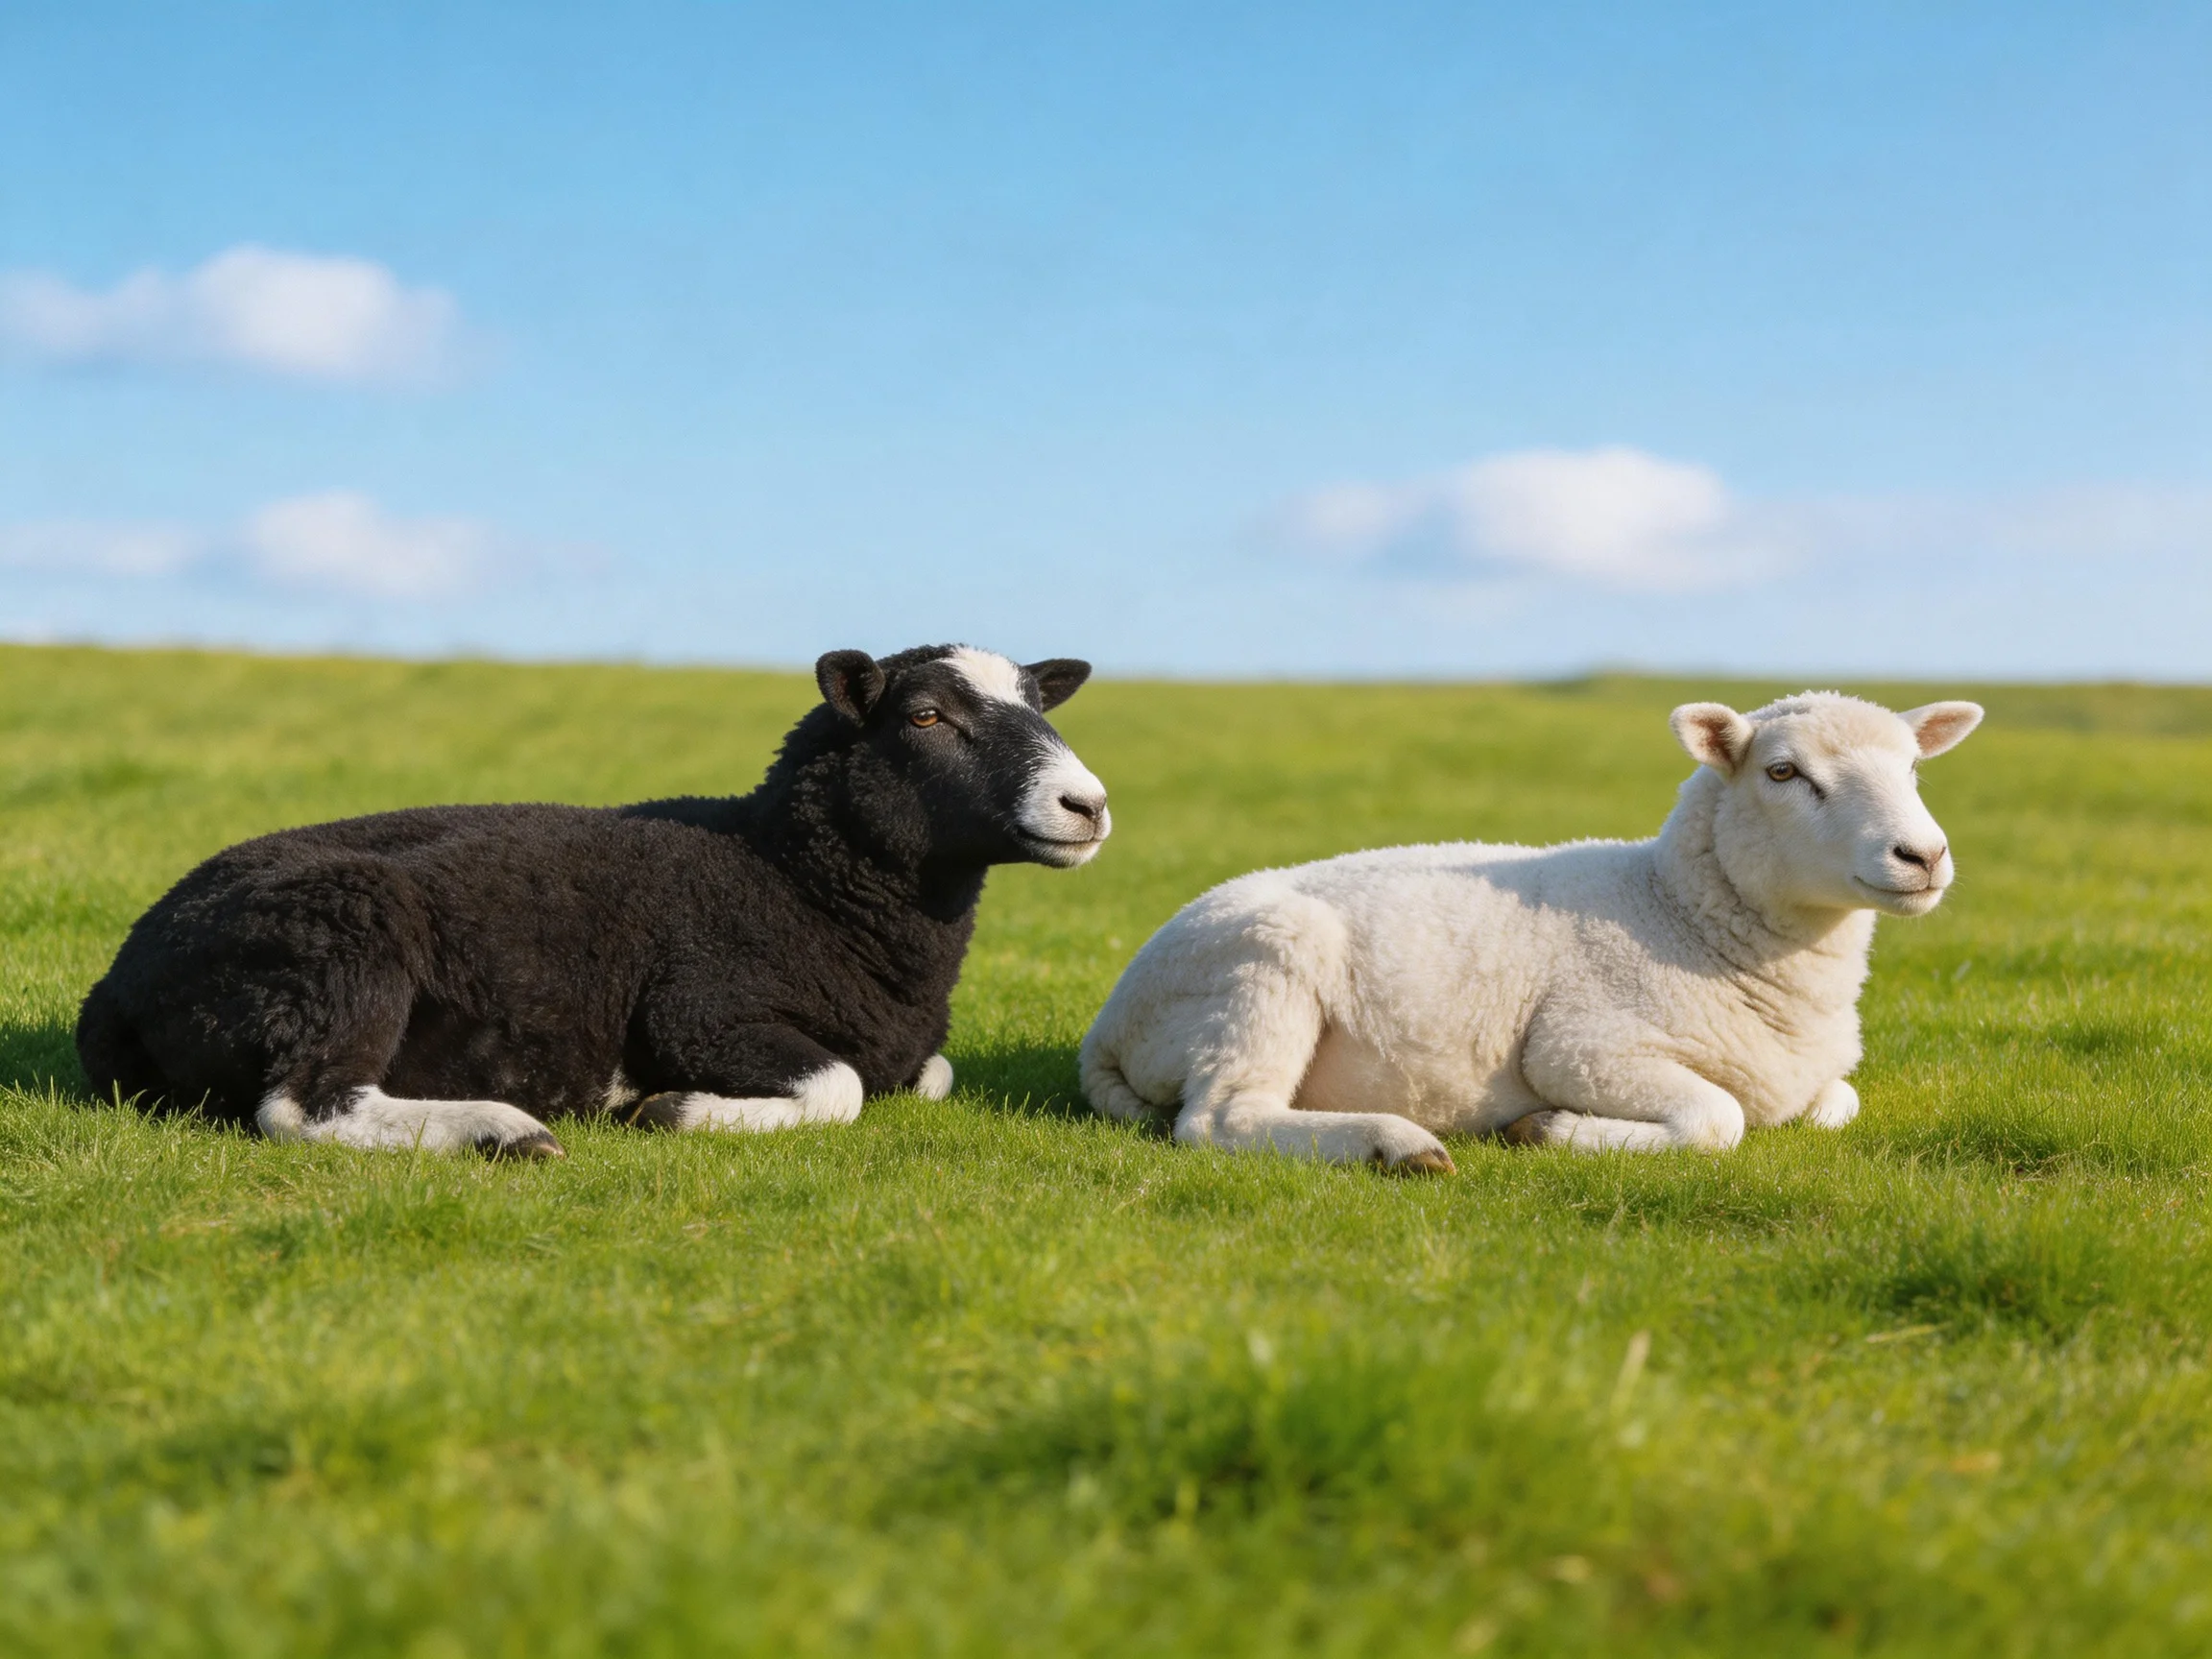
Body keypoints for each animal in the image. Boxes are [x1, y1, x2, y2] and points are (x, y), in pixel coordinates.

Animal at [77, 645, 1109, 1158]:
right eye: (926, 716)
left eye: (1040, 709)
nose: (1088, 806)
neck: (789, 878)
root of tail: (117, 982)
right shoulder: (703, 1009)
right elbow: (843, 1086)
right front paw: (669, 1110)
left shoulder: (908, 1050)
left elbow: (931, 1074)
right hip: (341, 942)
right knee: (302, 1107)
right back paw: (501, 1131)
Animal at [1079, 692, 1982, 1170]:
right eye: (1784, 772)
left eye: (1913, 769)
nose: (1924, 855)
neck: (1675, 910)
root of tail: (1107, 1028)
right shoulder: (1584, 1047)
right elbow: (1717, 1120)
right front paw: (1546, 1128)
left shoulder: (1813, 1079)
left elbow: (1837, 1102)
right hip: (1261, 972)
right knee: (1221, 1120)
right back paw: (1396, 1146)